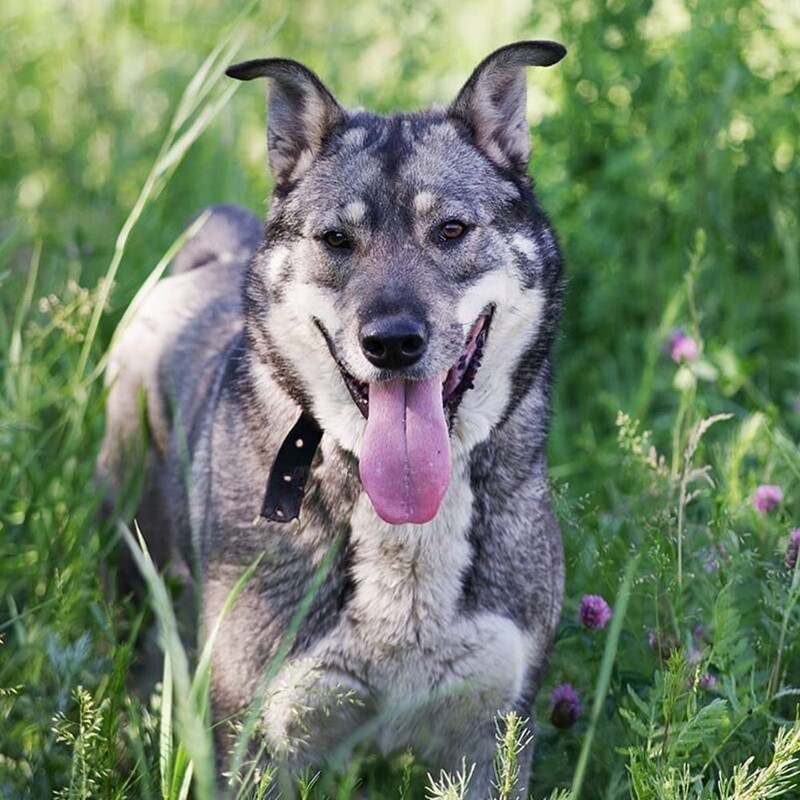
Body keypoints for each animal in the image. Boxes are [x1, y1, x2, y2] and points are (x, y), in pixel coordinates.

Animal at [97, 40, 568, 796]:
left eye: (452, 230)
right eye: (336, 239)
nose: (393, 342)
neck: (402, 526)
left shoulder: (490, 736)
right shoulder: (258, 744)